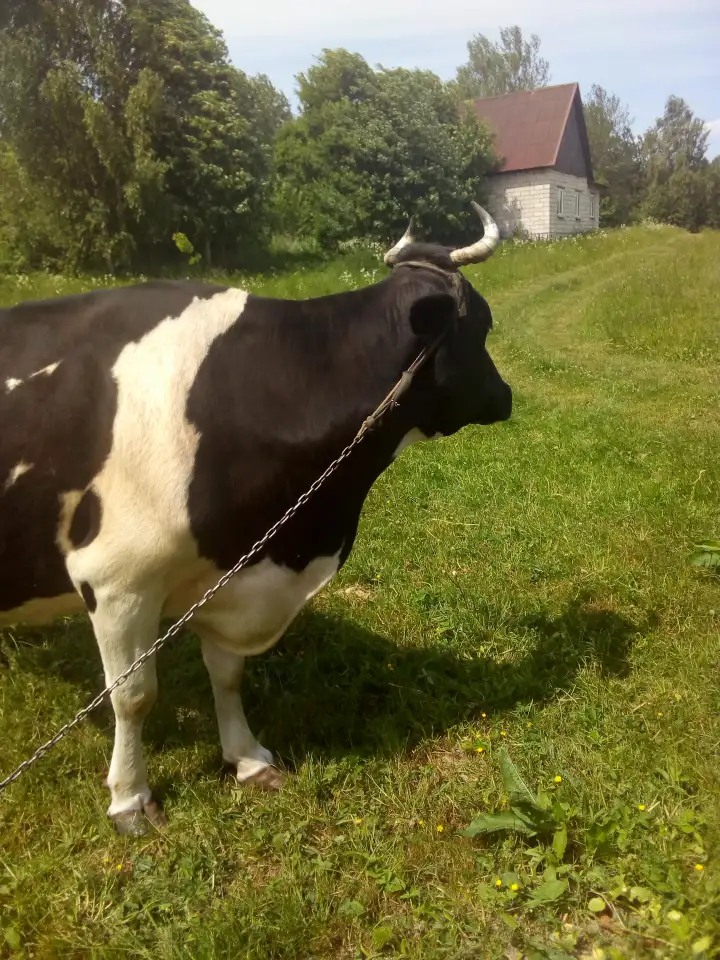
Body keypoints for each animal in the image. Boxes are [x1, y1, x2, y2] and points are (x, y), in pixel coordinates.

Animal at [0, 202, 512, 834]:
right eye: (481, 324)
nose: (507, 396)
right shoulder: (117, 580)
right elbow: (133, 695)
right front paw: (130, 799)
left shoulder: (231, 573)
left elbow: (228, 673)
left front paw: (247, 759)